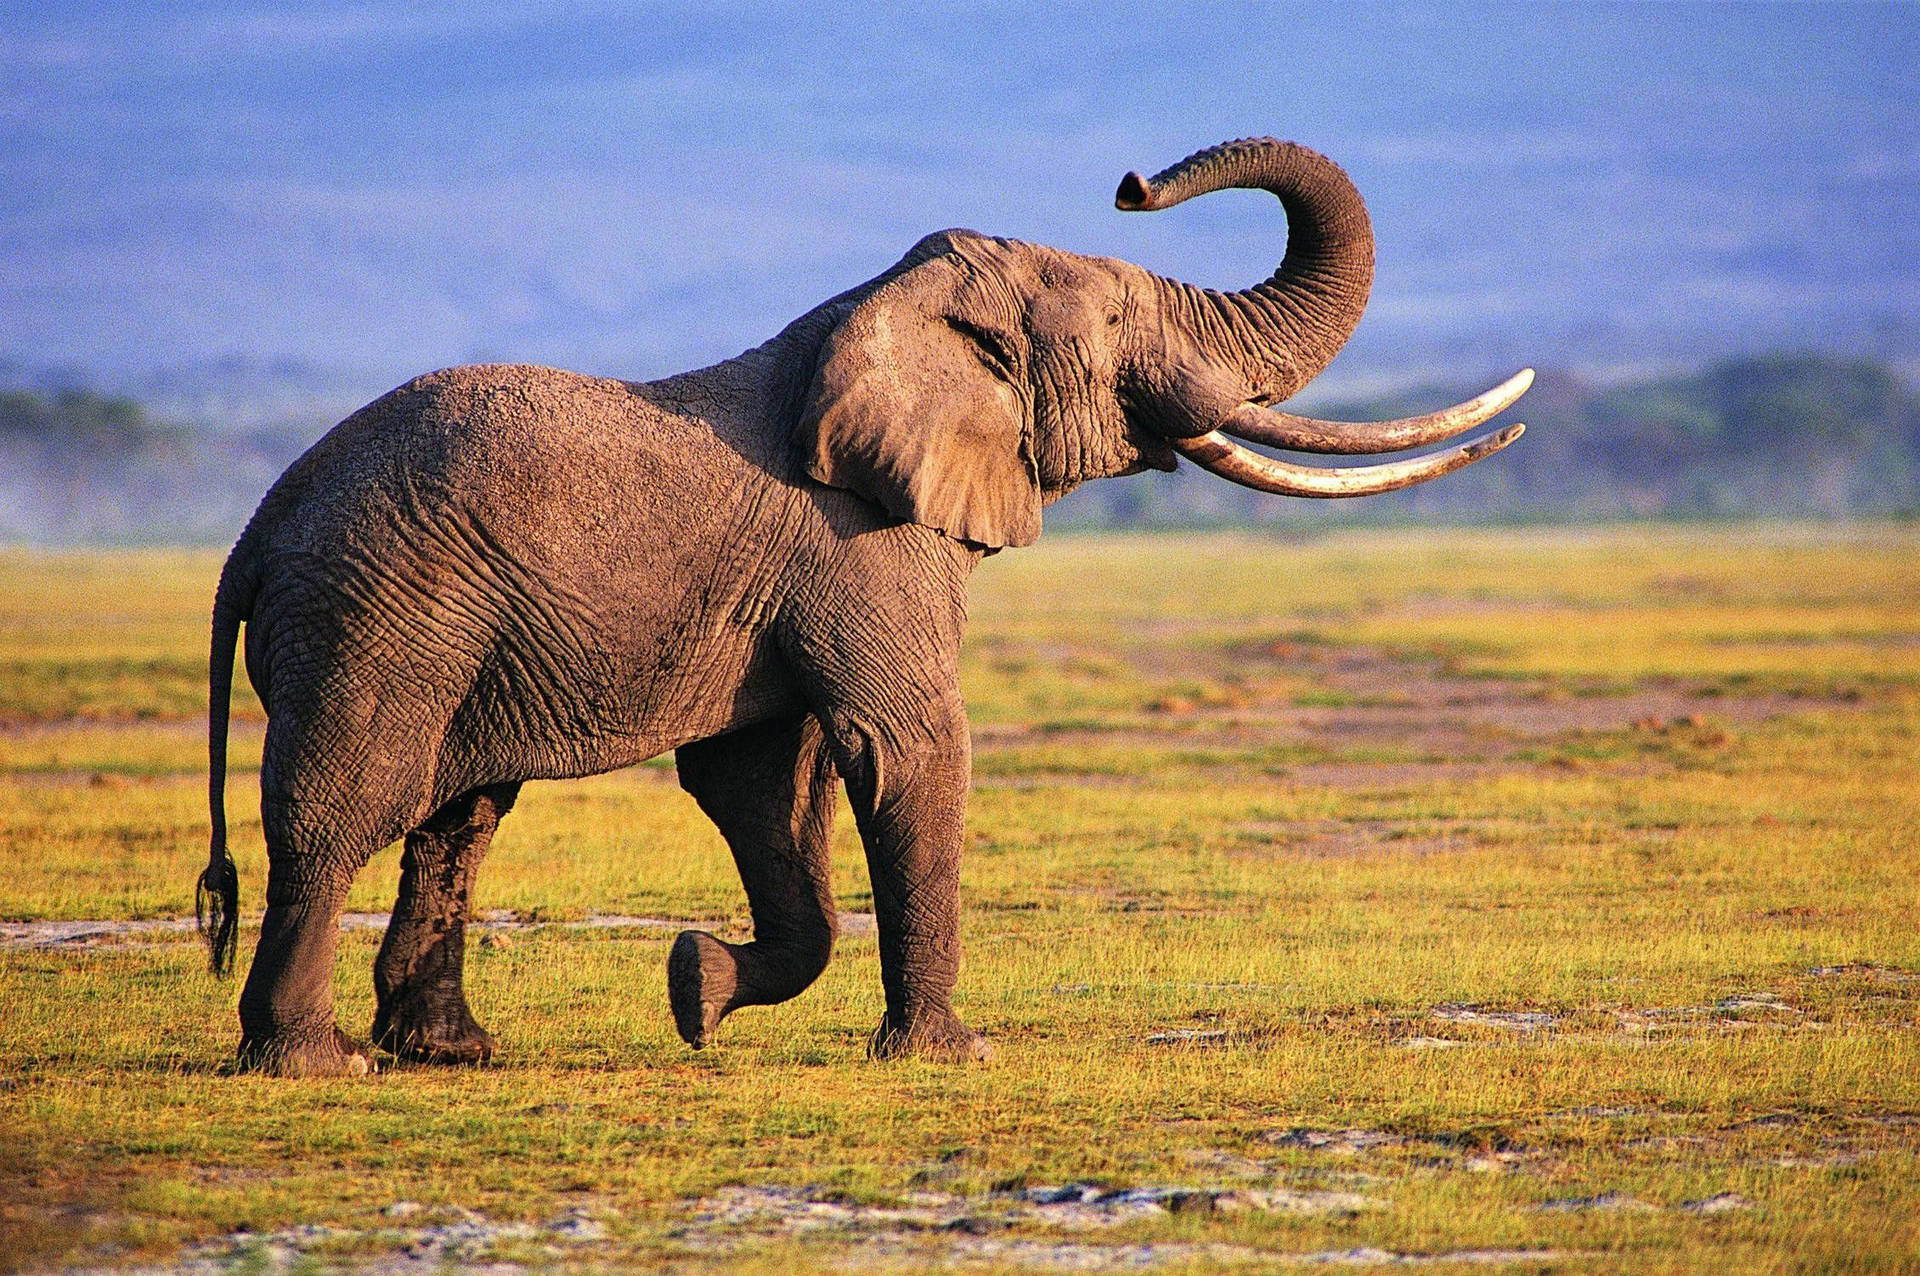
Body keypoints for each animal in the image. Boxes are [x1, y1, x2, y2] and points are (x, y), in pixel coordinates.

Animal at [194, 137, 1536, 1074]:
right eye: (1115, 318)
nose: (1133, 179)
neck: (884, 310)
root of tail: (257, 528)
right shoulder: (864, 548)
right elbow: (907, 747)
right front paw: (951, 1054)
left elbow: (761, 783)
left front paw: (695, 987)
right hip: (380, 611)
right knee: (347, 805)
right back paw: (311, 1062)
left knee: (457, 814)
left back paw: (452, 1053)